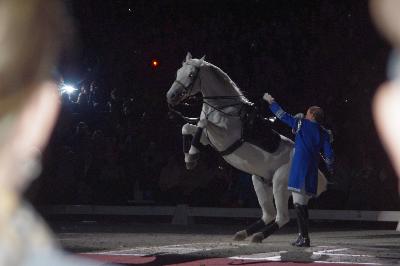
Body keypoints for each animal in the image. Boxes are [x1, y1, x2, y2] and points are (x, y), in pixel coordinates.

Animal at [166, 53, 328, 242]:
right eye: (178, 72)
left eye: (191, 75)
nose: (171, 96)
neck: (224, 109)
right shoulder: (209, 140)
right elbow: (187, 127)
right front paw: (189, 159)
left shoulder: (225, 138)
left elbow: (202, 123)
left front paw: (192, 157)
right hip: (261, 182)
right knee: (269, 214)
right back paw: (244, 233)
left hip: (280, 183)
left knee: (282, 217)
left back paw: (259, 236)